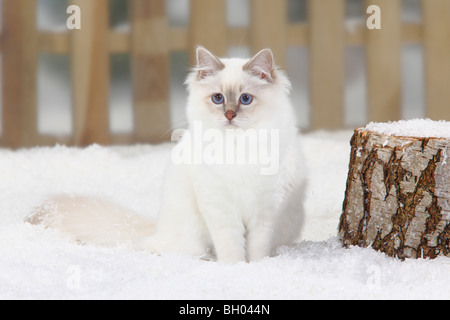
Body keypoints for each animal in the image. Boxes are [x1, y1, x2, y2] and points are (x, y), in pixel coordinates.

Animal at [26, 47, 308, 262]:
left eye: (245, 99)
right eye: (218, 98)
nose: (229, 115)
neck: (238, 148)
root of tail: (156, 228)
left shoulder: (265, 210)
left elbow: (257, 249)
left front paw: (257, 268)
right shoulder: (220, 207)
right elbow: (231, 247)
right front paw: (235, 268)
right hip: (190, 235)